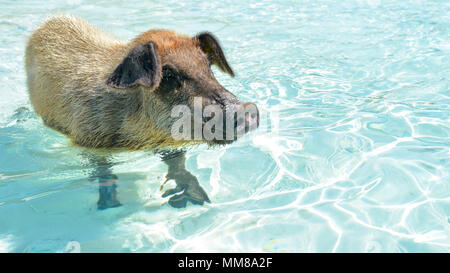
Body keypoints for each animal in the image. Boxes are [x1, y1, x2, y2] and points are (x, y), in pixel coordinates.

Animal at [24, 14, 258, 208]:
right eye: (169, 75)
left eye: (208, 66)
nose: (245, 110)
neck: (139, 138)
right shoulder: (87, 139)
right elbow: (103, 171)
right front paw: (111, 206)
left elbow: (176, 163)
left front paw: (194, 199)